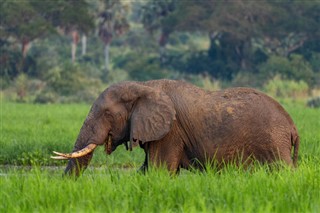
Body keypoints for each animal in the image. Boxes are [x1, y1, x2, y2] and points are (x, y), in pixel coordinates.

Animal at [51, 79, 298, 176]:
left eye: (107, 114)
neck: (143, 86)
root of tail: (292, 126)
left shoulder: (170, 133)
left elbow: (160, 171)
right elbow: (146, 171)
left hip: (274, 142)